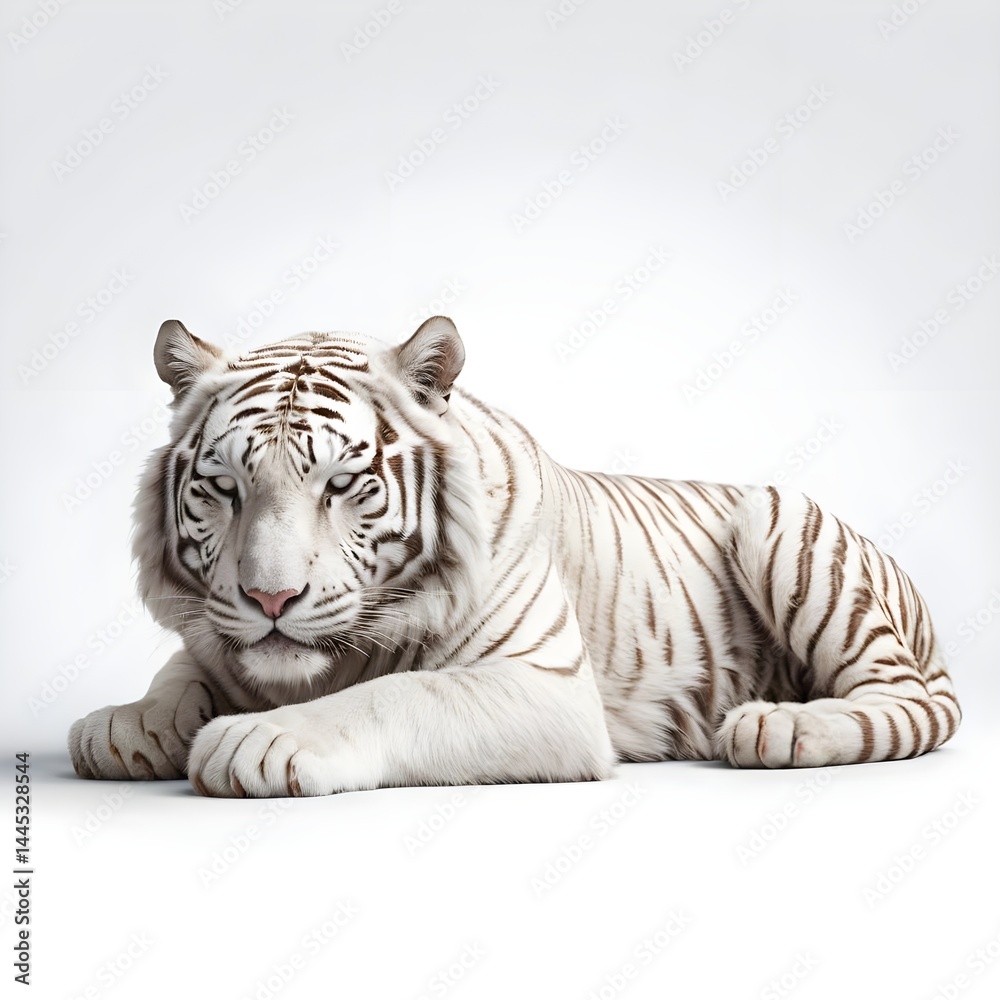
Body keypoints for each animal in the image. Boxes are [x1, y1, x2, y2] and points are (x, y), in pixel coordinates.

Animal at [68, 316, 960, 797]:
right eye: (224, 487)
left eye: (342, 484)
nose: (270, 601)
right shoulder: (220, 636)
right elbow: (184, 669)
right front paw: (125, 724)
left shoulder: (546, 688)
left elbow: (396, 694)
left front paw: (258, 739)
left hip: (777, 519)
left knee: (910, 703)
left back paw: (777, 725)